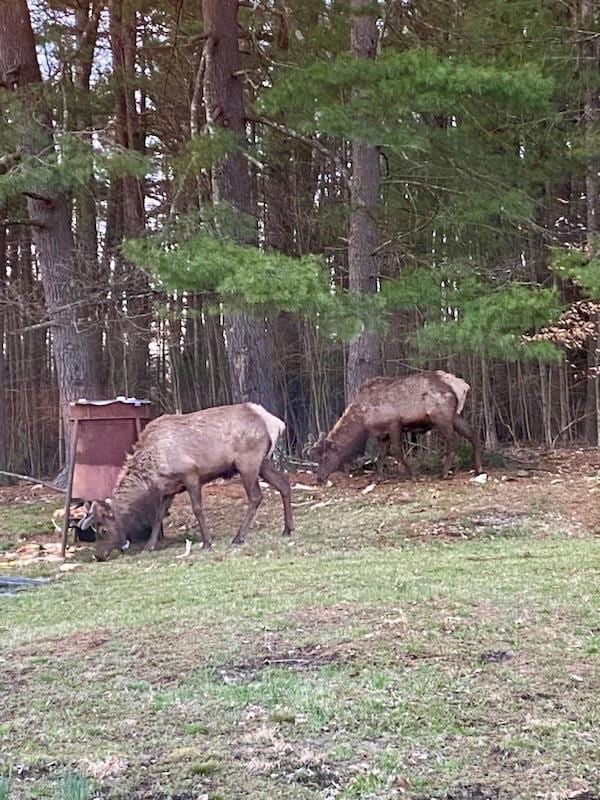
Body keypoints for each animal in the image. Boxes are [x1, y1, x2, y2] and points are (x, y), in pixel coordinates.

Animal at [81, 404, 294, 560]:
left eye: (103, 529)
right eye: (94, 530)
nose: (98, 556)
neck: (153, 471)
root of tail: (274, 422)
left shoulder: (191, 474)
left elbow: (197, 509)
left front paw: (207, 542)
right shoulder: (169, 489)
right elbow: (158, 516)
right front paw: (149, 546)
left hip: (247, 462)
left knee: (256, 497)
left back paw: (238, 537)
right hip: (263, 462)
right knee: (284, 483)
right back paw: (287, 529)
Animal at [310, 370, 482, 482]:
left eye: (325, 457)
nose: (319, 478)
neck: (363, 420)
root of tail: (462, 386)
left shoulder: (393, 423)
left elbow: (395, 450)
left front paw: (412, 475)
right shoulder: (381, 433)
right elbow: (380, 455)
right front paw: (378, 478)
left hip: (441, 415)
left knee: (453, 440)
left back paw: (445, 472)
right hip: (454, 415)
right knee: (472, 433)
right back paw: (478, 469)